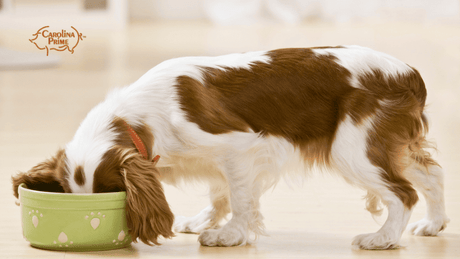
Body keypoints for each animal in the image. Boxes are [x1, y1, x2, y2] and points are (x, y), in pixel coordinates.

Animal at [11, 46, 450, 250]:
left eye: (112, 194)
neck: (141, 117)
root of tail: (410, 74)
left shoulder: (237, 147)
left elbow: (239, 198)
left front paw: (229, 235)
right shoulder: (218, 161)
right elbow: (220, 192)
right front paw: (206, 220)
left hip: (353, 148)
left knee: (402, 192)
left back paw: (383, 239)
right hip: (389, 144)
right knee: (431, 174)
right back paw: (434, 224)